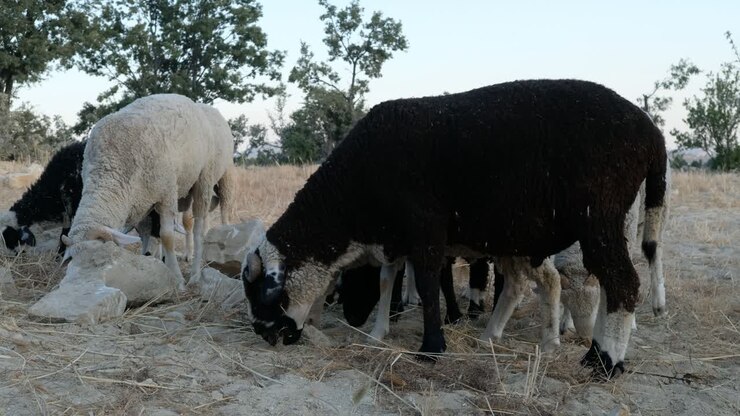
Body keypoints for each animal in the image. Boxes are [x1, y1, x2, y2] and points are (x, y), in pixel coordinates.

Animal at [61, 94, 234, 287]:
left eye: (98, 260)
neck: (110, 168)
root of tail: (195, 104)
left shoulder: (166, 194)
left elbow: (167, 237)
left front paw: (177, 279)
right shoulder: (141, 203)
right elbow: (145, 234)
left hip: (207, 177)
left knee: (202, 225)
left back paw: (197, 272)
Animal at [240, 79, 668, 378]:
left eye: (265, 290)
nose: (264, 333)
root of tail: (653, 134)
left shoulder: (426, 232)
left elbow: (430, 287)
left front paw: (431, 348)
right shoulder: (399, 242)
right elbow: (392, 281)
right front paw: (384, 332)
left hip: (602, 217)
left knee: (622, 282)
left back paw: (603, 361)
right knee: (598, 282)